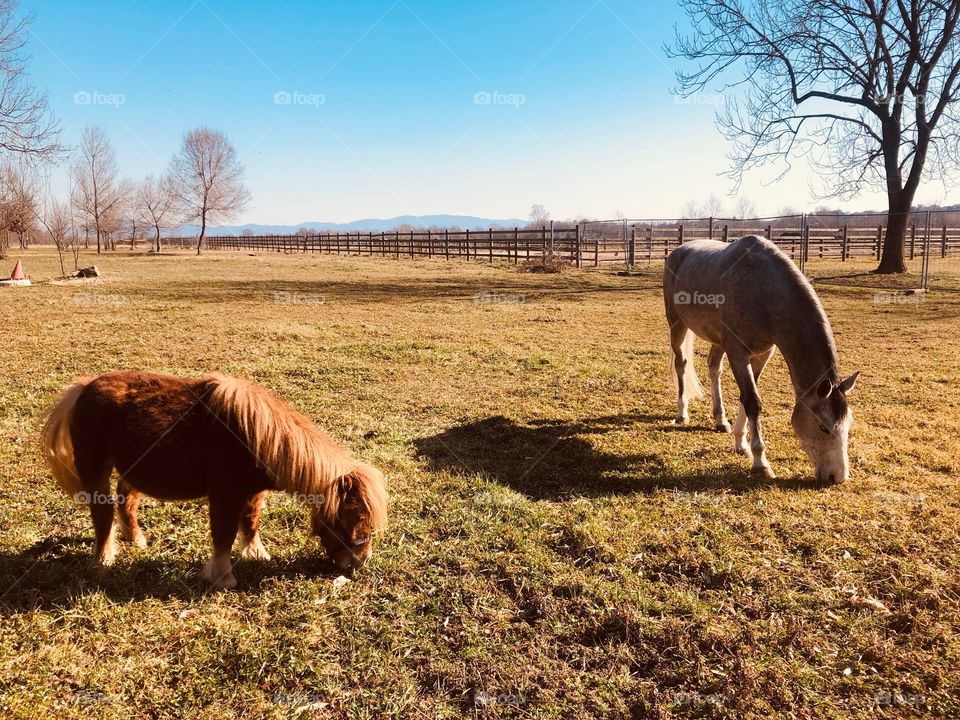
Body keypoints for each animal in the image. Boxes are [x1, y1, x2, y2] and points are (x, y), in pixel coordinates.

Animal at [40, 374, 386, 588]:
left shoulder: (253, 493)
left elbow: (251, 524)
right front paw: (222, 577)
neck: (254, 435)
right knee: (103, 514)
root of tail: (83, 388)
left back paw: (136, 539)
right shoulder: (225, 494)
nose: (358, 562)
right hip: (95, 470)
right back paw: (103, 559)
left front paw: (256, 553)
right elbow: (224, 534)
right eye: (353, 516)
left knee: (127, 503)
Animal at [664, 236, 860, 484]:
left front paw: (741, 443)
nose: (838, 477)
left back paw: (721, 420)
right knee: (681, 364)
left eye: (848, 424)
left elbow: (746, 396)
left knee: (714, 368)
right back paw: (682, 413)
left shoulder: (763, 353)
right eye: (823, 427)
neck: (764, 291)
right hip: (677, 324)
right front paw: (760, 463)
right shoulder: (737, 350)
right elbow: (752, 401)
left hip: (718, 340)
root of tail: (678, 250)